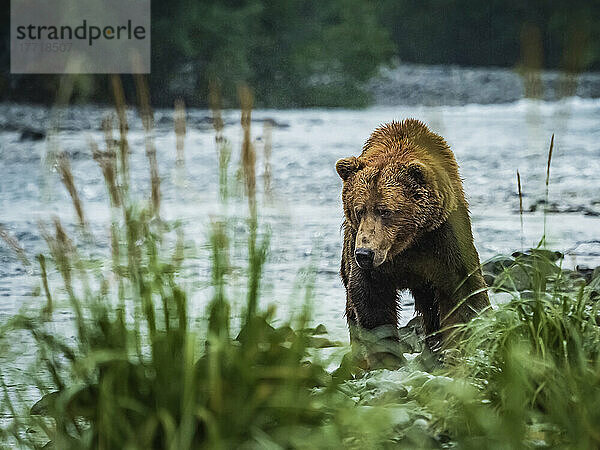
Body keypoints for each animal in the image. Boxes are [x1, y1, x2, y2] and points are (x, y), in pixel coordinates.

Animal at [336, 118, 490, 362]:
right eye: (359, 210)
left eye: (385, 211)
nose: (365, 254)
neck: (406, 243)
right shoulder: (361, 248)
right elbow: (370, 298)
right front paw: (386, 356)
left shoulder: (442, 235)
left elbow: (463, 287)